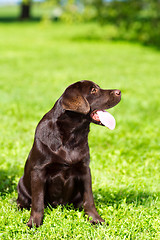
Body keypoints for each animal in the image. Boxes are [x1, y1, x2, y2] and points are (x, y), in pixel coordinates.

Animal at [16, 80, 120, 227]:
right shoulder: (38, 171)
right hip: (21, 184)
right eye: (93, 90)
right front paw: (34, 223)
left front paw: (96, 219)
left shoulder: (84, 170)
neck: (71, 136)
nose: (119, 91)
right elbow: (37, 202)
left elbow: (89, 199)